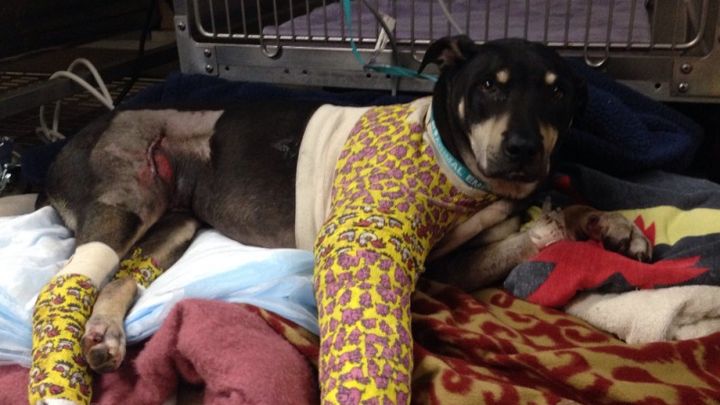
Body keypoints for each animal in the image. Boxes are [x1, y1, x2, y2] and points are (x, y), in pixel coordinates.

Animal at [32, 36, 651, 403]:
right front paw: (552, 230)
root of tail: (60, 152)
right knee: (67, 282)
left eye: (558, 94)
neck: (465, 170)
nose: (524, 149)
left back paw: (103, 336)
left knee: (118, 280)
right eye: (487, 88)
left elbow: (571, 199)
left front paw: (612, 224)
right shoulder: (445, 270)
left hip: (174, 222)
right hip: (126, 197)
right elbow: (522, 239)